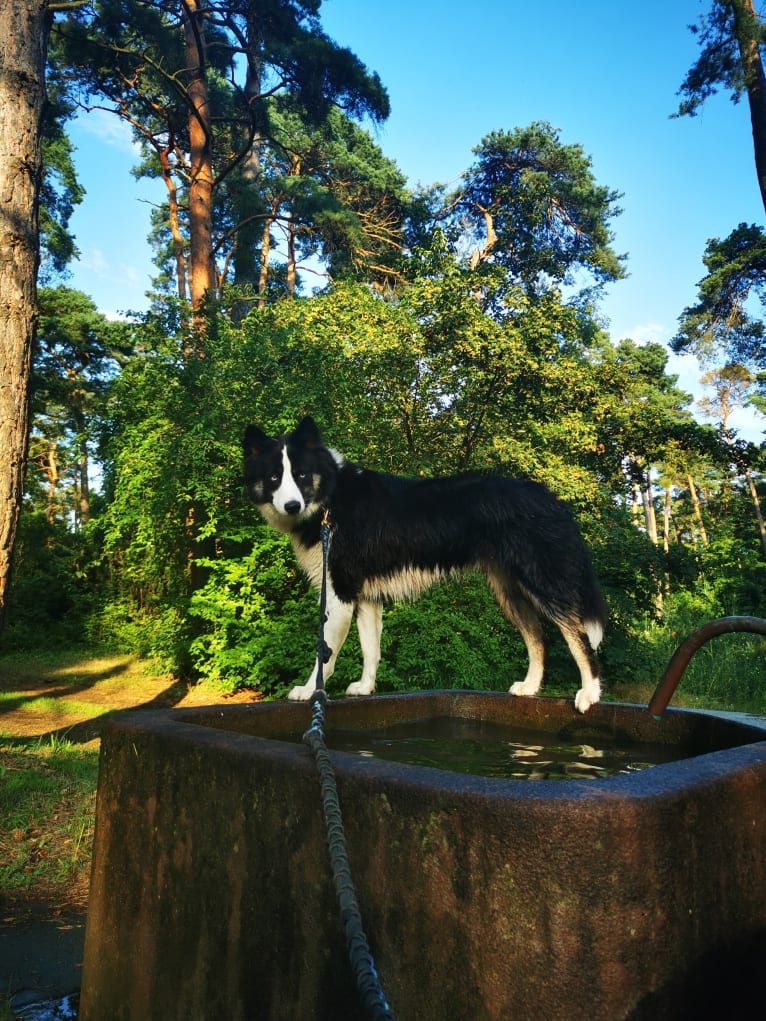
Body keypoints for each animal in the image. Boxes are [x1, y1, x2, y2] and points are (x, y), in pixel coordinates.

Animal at [243, 418, 608, 714]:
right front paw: (366, 688)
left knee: (577, 636)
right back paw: (530, 687)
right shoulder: (366, 598)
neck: (331, 499)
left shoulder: (340, 592)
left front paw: (309, 692)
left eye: (302, 475)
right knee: (537, 637)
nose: (292, 506)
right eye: (274, 477)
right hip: (508, 590)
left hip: (544, 582)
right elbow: (371, 648)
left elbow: (325, 653)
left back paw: (589, 694)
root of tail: (553, 499)